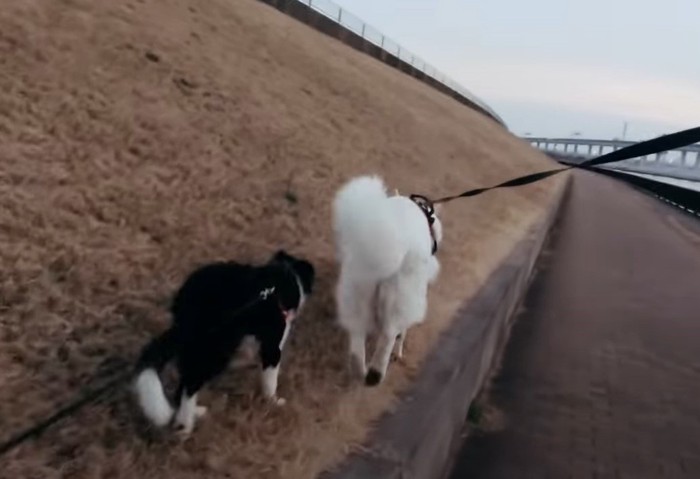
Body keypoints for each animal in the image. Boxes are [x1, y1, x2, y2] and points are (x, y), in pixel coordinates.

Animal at [133, 251, 314, 436]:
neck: (286, 276)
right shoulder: (272, 348)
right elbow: (271, 381)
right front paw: (273, 402)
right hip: (216, 349)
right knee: (190, 384)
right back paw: (185, 425)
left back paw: (195, 412)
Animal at [334, 176, 442, 386]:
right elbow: (403, 333)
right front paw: (399, 352)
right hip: (398, 302)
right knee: (388, 339)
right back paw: (376, 372)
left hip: (357, 294)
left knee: (357, 348)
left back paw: (361, 370)